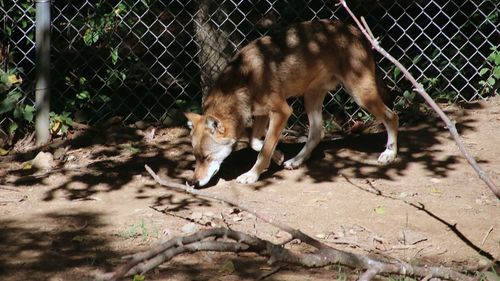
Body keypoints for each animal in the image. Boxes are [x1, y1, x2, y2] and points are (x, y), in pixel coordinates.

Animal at [184, 19, 398, 186]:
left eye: (206, 157)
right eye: (195, 157)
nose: (193, 182)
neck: (243, 80)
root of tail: (354, 30)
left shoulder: (282, 111)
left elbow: (263, 149)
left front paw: (252, 175)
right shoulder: (262, 114)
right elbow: (255, 142)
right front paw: (278, 155)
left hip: (360, 95)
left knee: (392, 116)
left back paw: (389, 154)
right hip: (310, 98)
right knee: (317, 133)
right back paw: (296, 161)